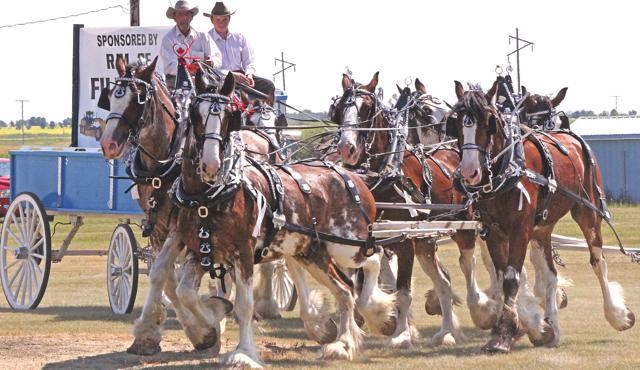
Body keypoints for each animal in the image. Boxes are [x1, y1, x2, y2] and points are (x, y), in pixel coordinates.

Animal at [448, 81, 632, 352]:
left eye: (488, 121)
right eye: (457, 122)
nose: (470, 171)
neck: (507, 168)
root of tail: (571, 136)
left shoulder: (520, 229)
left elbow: (512, 278)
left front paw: (504, 334)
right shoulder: (493, 231)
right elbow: (504, 276)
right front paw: (532, 326)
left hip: (588, 213)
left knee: (598, 261)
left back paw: (616, 315)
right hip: (543, 228)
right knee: (550, 274)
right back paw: (552, 327)